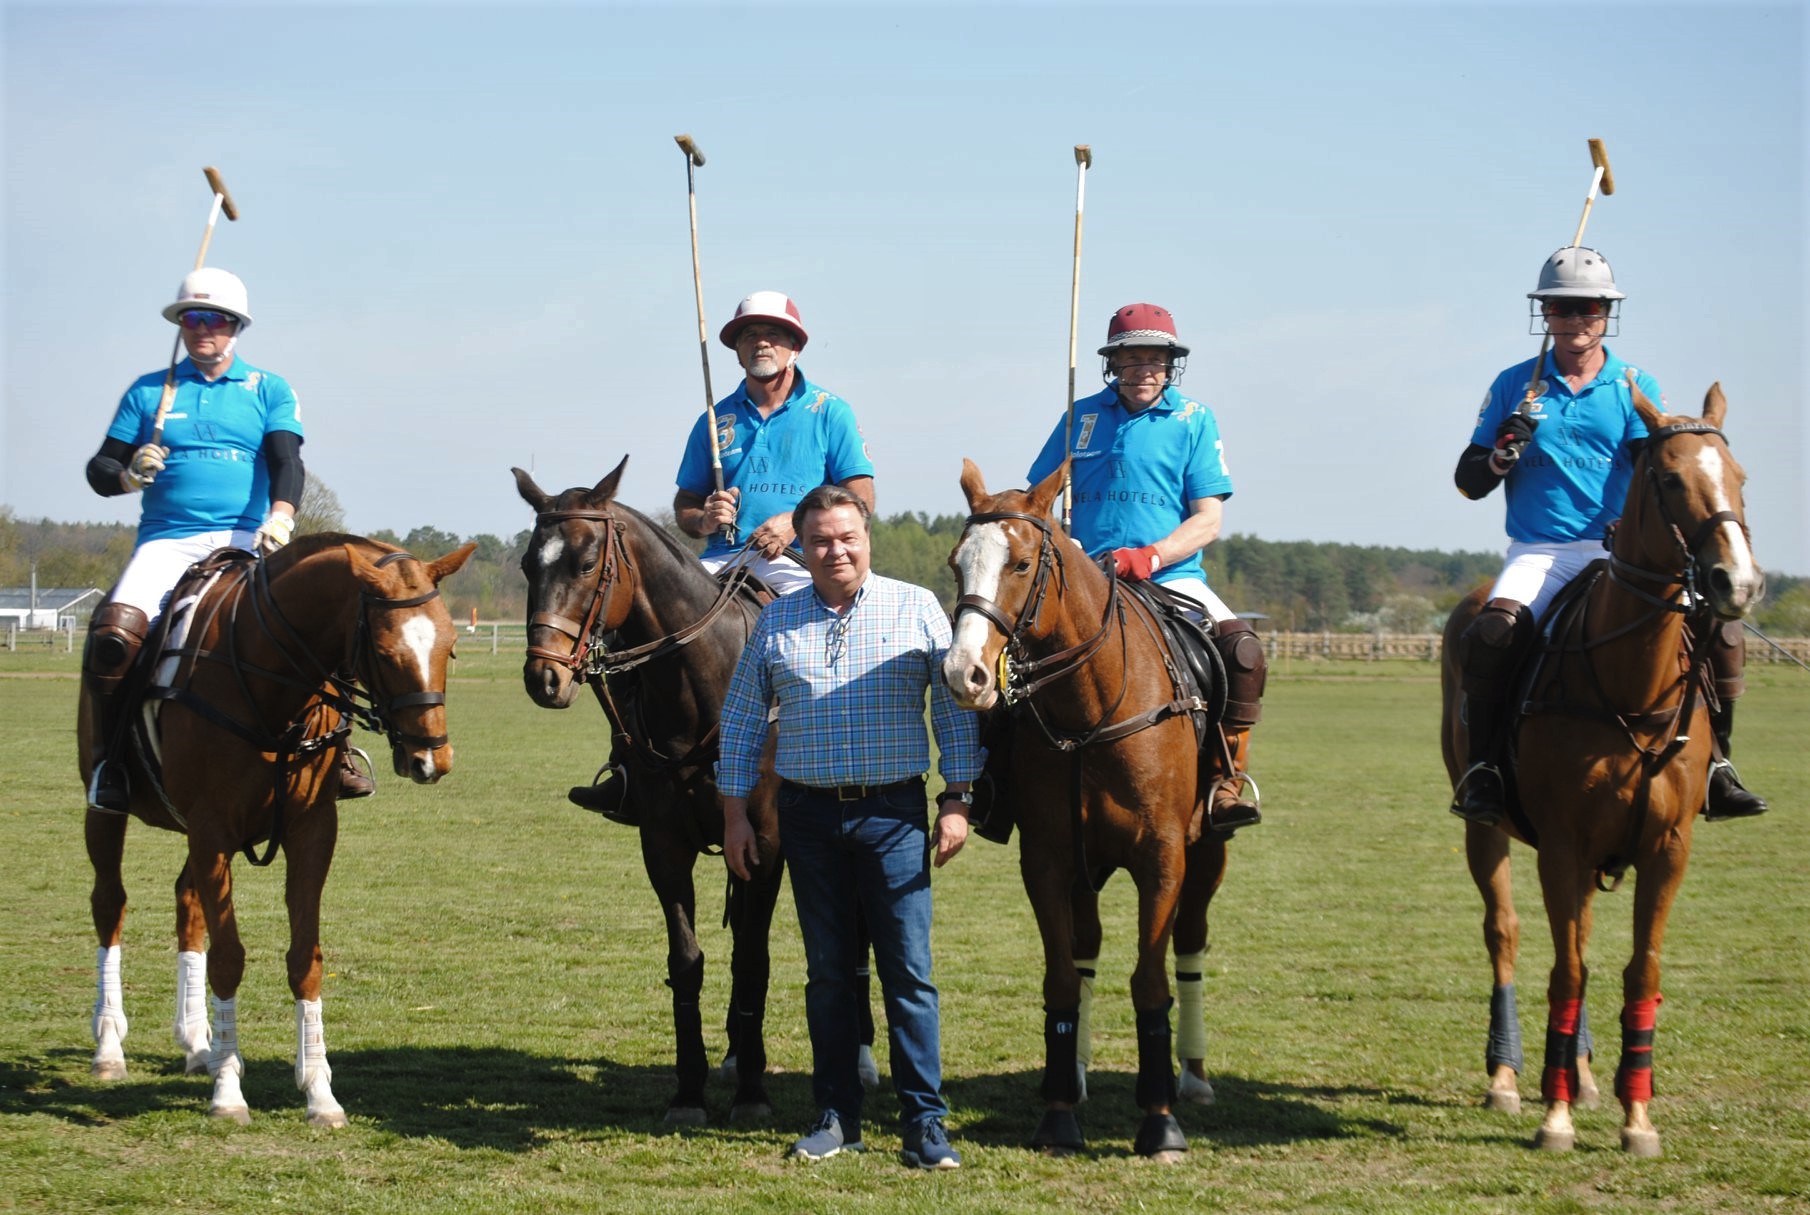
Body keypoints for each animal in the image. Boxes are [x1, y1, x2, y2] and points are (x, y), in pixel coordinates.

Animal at [77, 535, 474, 1129]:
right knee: (110, 903)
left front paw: (319, 1092)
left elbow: (305, 957)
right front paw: (227, 1091)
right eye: (385, 653)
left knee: (187, 903)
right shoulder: (212, 827)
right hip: (108, 809)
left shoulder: (311, 828)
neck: (272, 691)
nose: (432, 760)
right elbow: (228, 957)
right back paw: (109, 1047)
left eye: (449, 647)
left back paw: (198, 1042)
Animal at [510, 461, 792, 1129]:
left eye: (588, 562)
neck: (706, 689)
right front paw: (689, 1092)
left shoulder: (766, 847)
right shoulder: (664, 845)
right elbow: (686, 962)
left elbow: (754, 959)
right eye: (529, 563)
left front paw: (752, 1092)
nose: (544, 677)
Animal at [941, 461, 1238, 1166]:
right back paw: (1073, 1074)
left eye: (1022, 563)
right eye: (955, 563)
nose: (964, 675)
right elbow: (1061, 979)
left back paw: (1192, 1078)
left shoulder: (1162, 858)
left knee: (1190, 941)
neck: (1091, 709)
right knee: (1086, 951)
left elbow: (1150, 982)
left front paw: (1159, 1124)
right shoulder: (1049, 859)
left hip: (1207, 853)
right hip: (1087, 866)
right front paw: (1057, 1115)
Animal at [1440, 382, 1766, 1158]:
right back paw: (1508, 1077)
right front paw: (1553, 1116)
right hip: (1485, 827)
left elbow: (1636, 969)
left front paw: (1635, 1116)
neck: (1632, 687)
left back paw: (1581, 1075)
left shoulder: (1668, 847)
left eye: (1740, 477)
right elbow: (1567, 969)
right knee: (1506, 932)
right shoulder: (1562, 844)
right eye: (1670, 478)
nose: (1736, 583)